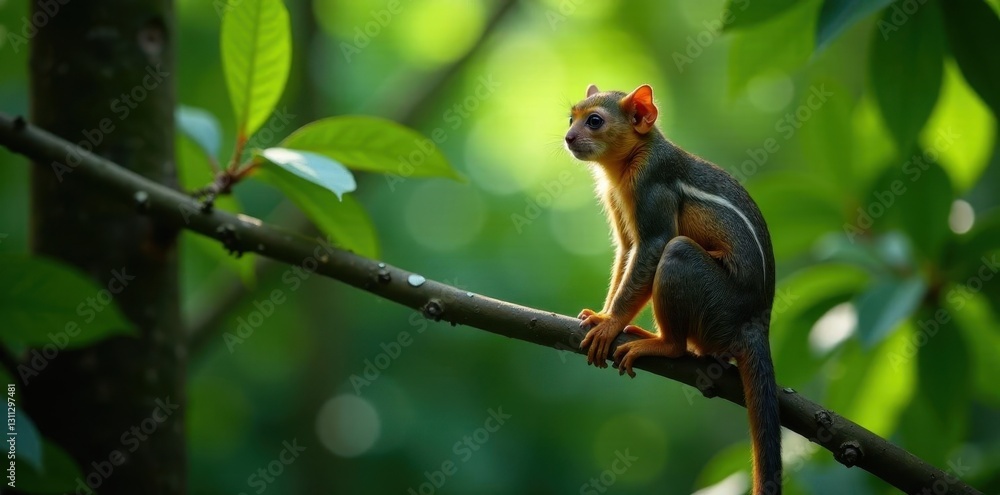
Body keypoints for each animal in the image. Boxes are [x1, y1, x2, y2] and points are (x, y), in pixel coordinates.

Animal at [566, 84, 781, 495]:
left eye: (595, 120)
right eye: (571, 117)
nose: (568, 137)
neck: (631, 158)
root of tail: (755, 323)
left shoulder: (651, 192)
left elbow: (651, 250)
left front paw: (610, 325)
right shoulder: (620, 217)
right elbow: (626, 256)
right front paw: (602, 315)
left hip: (696, 277)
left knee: (679, 336)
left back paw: (658, 343)